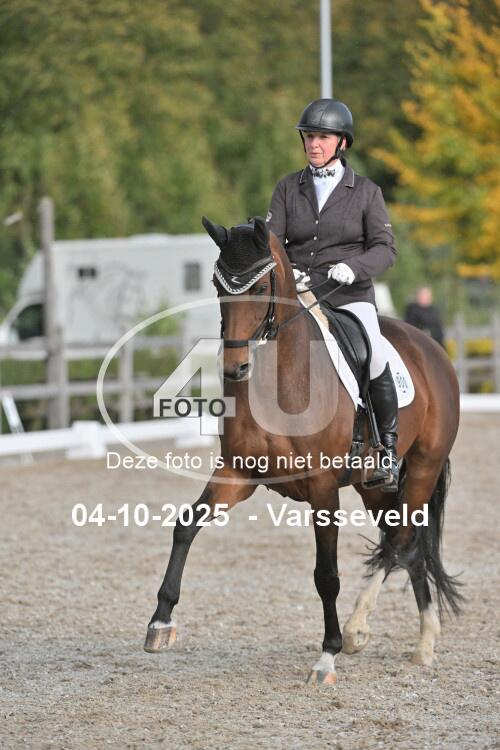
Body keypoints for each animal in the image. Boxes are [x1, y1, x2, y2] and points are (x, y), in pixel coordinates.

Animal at [144, 216, 462, 685]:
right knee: (406, 542)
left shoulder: (322, 490)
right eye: (218, 286)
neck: (280, 378)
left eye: (260, 287)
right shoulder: (238, 475)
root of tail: (431, 348)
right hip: (373, 487)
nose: (234, 368)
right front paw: (161, 621)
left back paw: (365, 631)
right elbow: (185, 526)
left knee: (401, 541)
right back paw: (419, 641)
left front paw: (327, 656)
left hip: (424, 466)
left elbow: (326, 575)